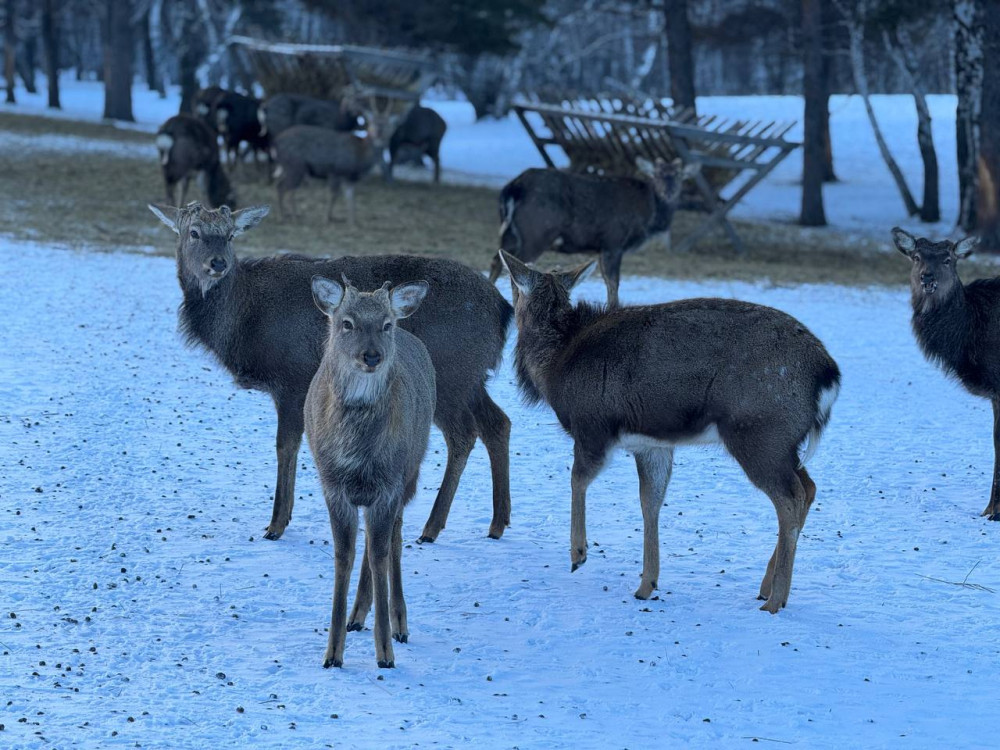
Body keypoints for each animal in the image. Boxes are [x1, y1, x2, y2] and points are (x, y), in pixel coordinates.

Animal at [306, 274, 436, 668]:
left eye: (386, 324)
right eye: (347, 323)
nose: (372, 355)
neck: (358, 454)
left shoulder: (389, 485)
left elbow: (380, 555)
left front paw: (385, 653)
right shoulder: (332, 484)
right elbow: (343, 556)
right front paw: (332, 653)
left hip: (411, 470)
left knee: (393, 539)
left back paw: (398, 623)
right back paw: (356, 616)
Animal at [490, 159, 696, 308]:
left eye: (679, 175)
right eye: (656, 174)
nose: (668, 191)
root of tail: (512, 188)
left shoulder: (602, 248)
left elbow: (607, 280)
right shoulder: (613, 241)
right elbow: (613, 281)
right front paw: (613, 307)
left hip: (510, 233)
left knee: (496, 260)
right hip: (536, 234)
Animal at [498, 250, 836, 612]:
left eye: (514, 289)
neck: (556, 364)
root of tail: (828, 374)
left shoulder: (592, 425)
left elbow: (577, 480)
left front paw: (578, 553)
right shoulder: (652, 445)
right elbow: (650, 502)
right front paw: (647, 583)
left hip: (758, 432)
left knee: (791, 496)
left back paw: (775, 600)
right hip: (783, 441)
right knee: (809, 486)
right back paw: (765, 586)